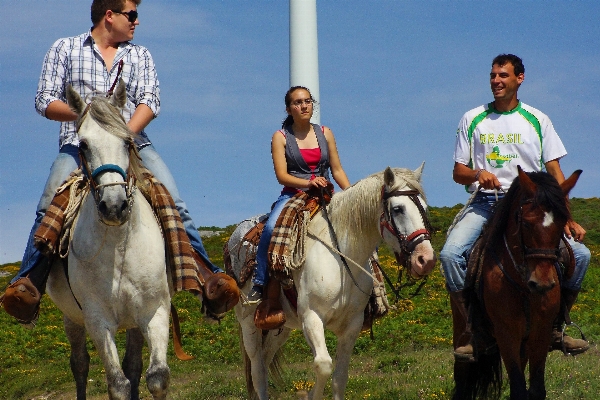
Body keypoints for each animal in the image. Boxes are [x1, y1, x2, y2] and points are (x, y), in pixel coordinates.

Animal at [47, 82, 171, 400]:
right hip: (71, 319)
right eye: (83, 146)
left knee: (134, 364)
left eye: (127, 142)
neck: (120, 247)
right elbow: (117, 383)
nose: (114, 206)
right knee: (80, 364)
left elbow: (156, 377)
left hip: (134, 321)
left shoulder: (154, 312)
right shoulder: (97, 319)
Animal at [225, 164, 436, 398]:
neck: (341, 258)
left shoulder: (352, 326)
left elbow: (339, 378)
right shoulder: (311, 318)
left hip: (281, 327)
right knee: (257, 369)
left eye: (425, 208)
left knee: (265, 357)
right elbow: (323, 365)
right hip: (248, 323)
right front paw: (308, 395)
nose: (425, 259)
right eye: (398, 209)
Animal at [454, 166, 580, 400]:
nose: (541, 284)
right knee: (461, 376)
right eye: (526, 223)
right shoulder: (507, 334)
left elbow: (536, 389)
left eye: (562, 222)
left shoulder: (540, 333)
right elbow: (519, 389)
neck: (523, 286)